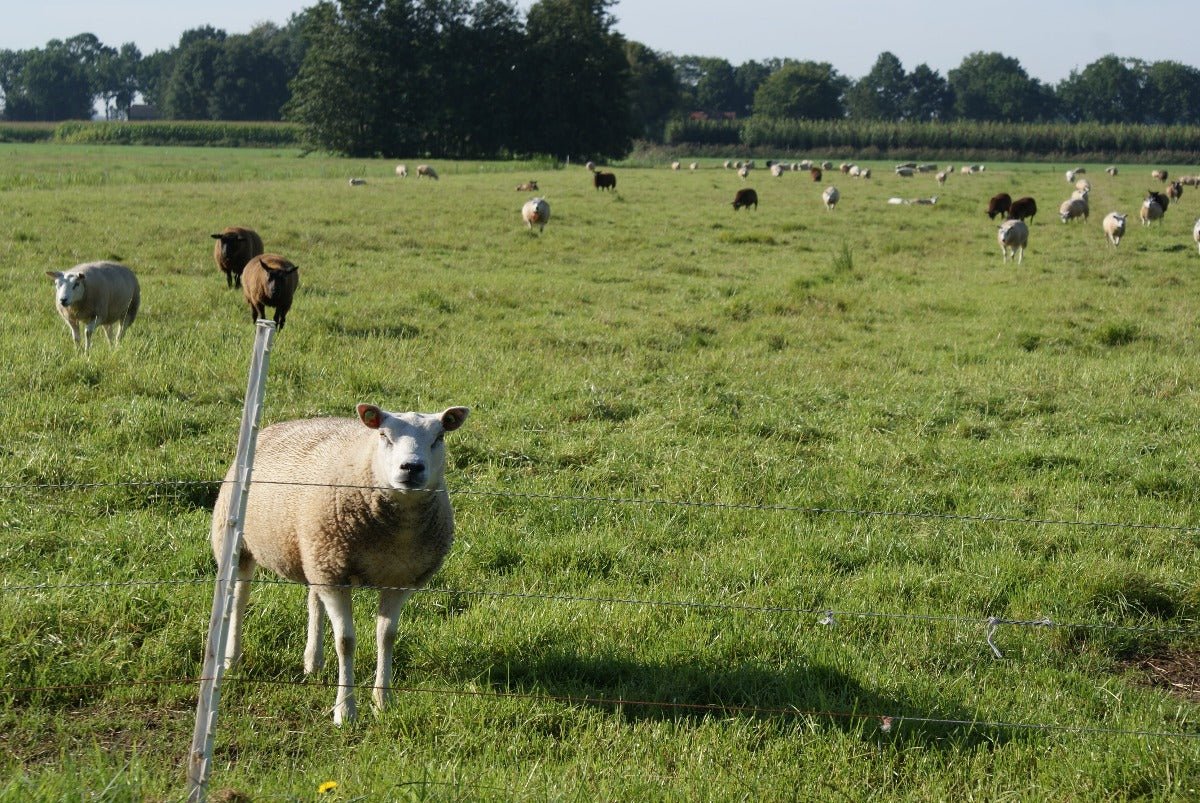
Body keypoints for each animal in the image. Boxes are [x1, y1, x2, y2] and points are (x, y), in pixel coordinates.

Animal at [211, 403, 468, 724]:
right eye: (383, 435)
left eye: (439, 437)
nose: (412, 468)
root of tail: (276, 426)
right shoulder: (335, 575)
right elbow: (346, 641)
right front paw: (345, 711)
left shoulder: (397, 579)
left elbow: (387, 636)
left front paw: (383, 701)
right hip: (238, 541)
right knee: (239, 599)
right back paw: (232, 659)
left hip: (315, 552)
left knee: (313, 599)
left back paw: (313, 662)